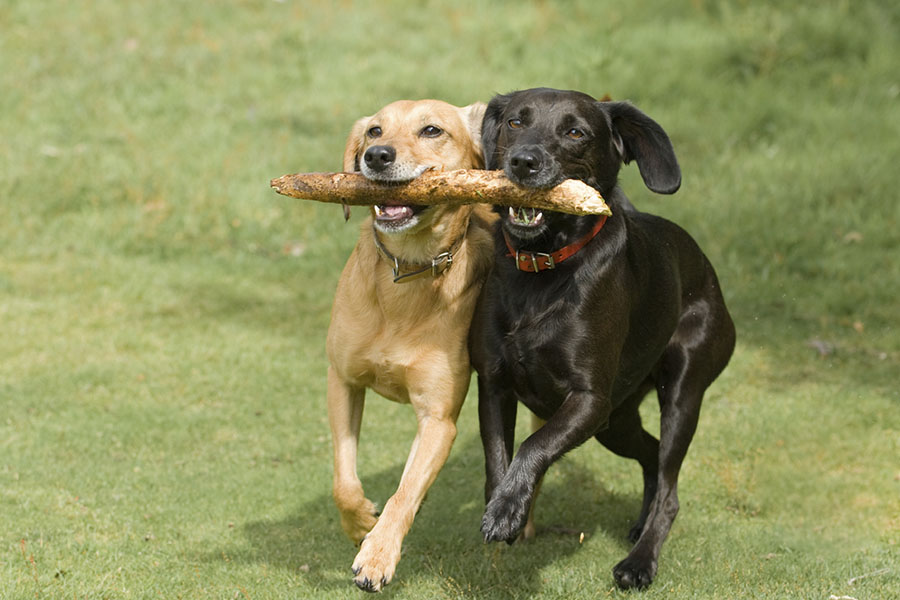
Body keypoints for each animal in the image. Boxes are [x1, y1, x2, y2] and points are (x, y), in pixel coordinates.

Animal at [326, 98, 492, 592]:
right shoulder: (342, 380)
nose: (376, 155)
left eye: (431, 130)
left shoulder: (438, 422)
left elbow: (405, 493)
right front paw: (361, 523)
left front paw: (377, 554)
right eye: (374, 130)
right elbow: (343, 480)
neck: (407, 272)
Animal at [468, 86, 736, 588]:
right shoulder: (493, 384)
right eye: (515, 122)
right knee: (651, 456)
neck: (541, 272)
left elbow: (534, 445)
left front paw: (508, 510)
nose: (523, 162)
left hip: (680, 392)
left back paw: (639, 562)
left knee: (670, 488)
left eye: (575, 132)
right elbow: (498, 455)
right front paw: (504, 508)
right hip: (617, 421)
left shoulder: (589, 399)